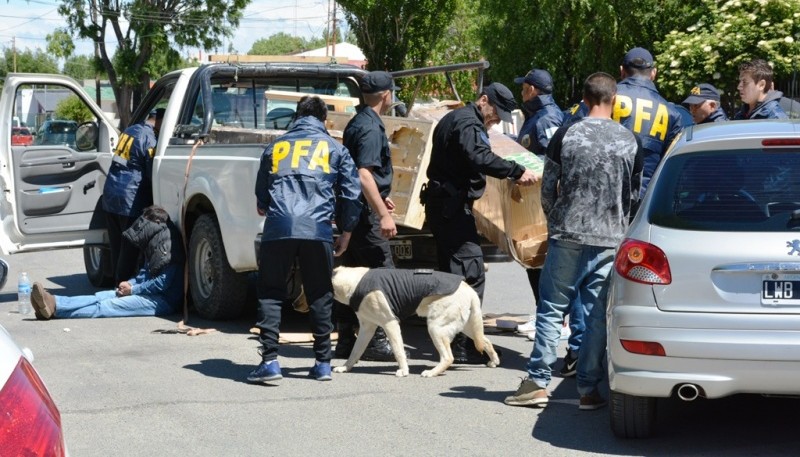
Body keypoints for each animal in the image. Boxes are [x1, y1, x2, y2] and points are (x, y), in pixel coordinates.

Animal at [328, 266, 496, 376]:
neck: (355, 282)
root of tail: (469, 289)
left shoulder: (390, 323)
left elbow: (398, 351)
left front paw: (403, 370)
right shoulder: (366, 328)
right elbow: (355, 352)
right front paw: (345, 367)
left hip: (436, 327)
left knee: (448, 357)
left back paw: (432, 372)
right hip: (465, 326)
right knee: (486, 341)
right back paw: (493, 361)